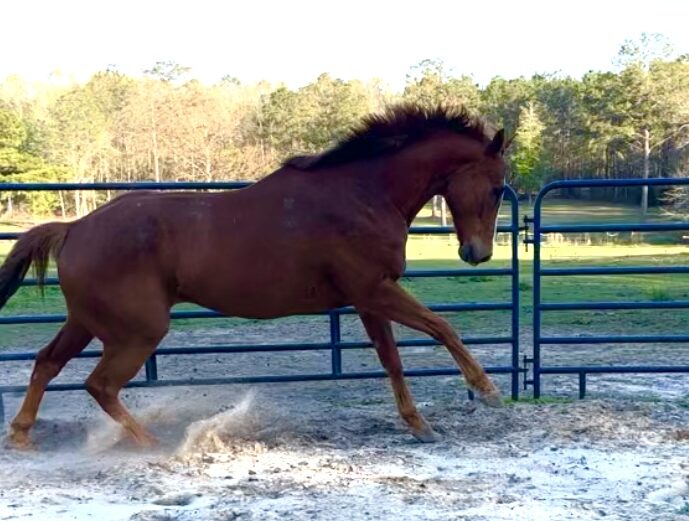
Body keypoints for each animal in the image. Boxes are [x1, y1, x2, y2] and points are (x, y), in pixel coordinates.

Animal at [1, 104, 510, 446]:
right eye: (497, 187)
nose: (477, 253)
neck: (363, 192)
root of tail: (74, 228)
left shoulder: (369, 298)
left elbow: (393, 360)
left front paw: (419, 425)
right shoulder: (376, 290)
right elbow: (442, 327)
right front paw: (487, 391)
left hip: (87, 322)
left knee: (47, 363)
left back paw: (22, 436)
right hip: (137, 332)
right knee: (99, 385)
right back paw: (151, 445)